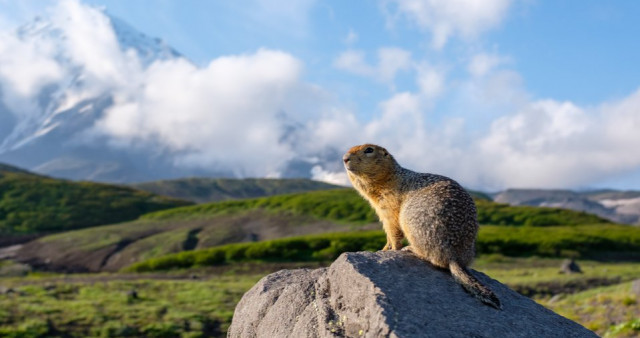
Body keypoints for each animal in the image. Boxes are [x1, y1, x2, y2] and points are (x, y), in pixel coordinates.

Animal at [342, 143, 502, 308]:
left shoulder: (389, 206)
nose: (344, 158)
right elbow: (387, 232)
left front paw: (391, 249)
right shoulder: (381, 210)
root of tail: (455, 257)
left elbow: (393, 230)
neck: (391, 177)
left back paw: (410, 249)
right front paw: (384, 248)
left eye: (369, 150)